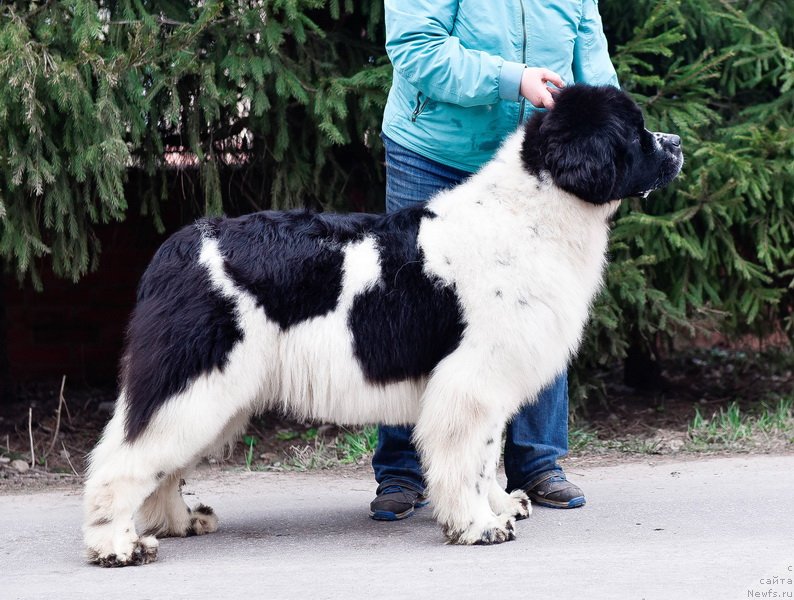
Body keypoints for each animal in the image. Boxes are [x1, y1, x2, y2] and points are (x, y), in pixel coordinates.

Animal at [83, 85, 684, 568]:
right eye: (633, 131)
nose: (677, 142)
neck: (533, 213)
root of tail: (178, 248)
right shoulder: (470, 382)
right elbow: (465, 459)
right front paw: (478, 526)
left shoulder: (490, 385)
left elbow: (486, 456)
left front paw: (499, 506)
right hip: (193, 380)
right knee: (125, 458)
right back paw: (117, 545)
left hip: (214, 394)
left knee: (162, 465)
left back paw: (177, 522)